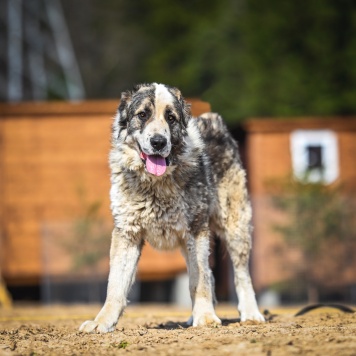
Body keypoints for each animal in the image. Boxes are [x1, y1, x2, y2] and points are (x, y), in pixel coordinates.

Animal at [80, 83, 264, 334]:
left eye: (171, 118)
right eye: (143, 115)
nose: (158, 142)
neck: (155, 184)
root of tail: (214, 120)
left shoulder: (196, 231)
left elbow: (199, 280)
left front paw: (206, 318)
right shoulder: (127, 234)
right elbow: (115, 285)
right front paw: (102, 321)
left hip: (235, 228)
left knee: (240, 274)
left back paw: (250, 313)